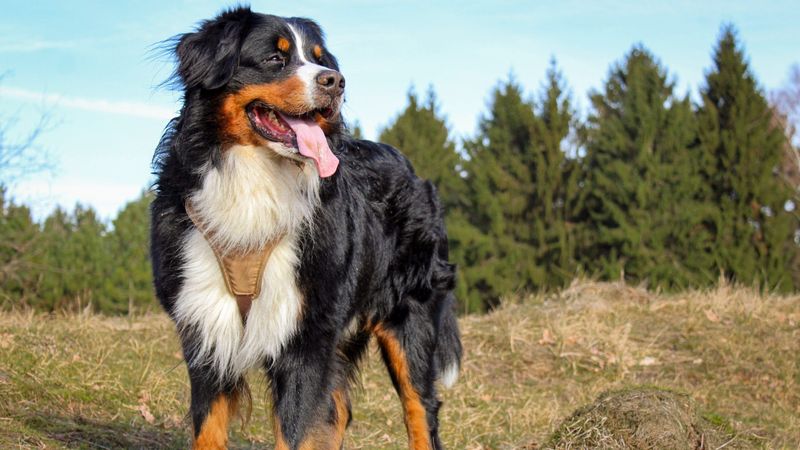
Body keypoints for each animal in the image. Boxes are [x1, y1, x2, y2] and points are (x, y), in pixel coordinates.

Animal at [151, 6, 462, 450]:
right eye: (274, 58)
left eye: (320, 59)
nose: (335, 81)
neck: (255, 182)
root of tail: (416, 173)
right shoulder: (207, 330)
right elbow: (208, 430)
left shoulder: (305, 339)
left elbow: (297, 431)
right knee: (339, 411)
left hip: (409, 318)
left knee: (421, 409)